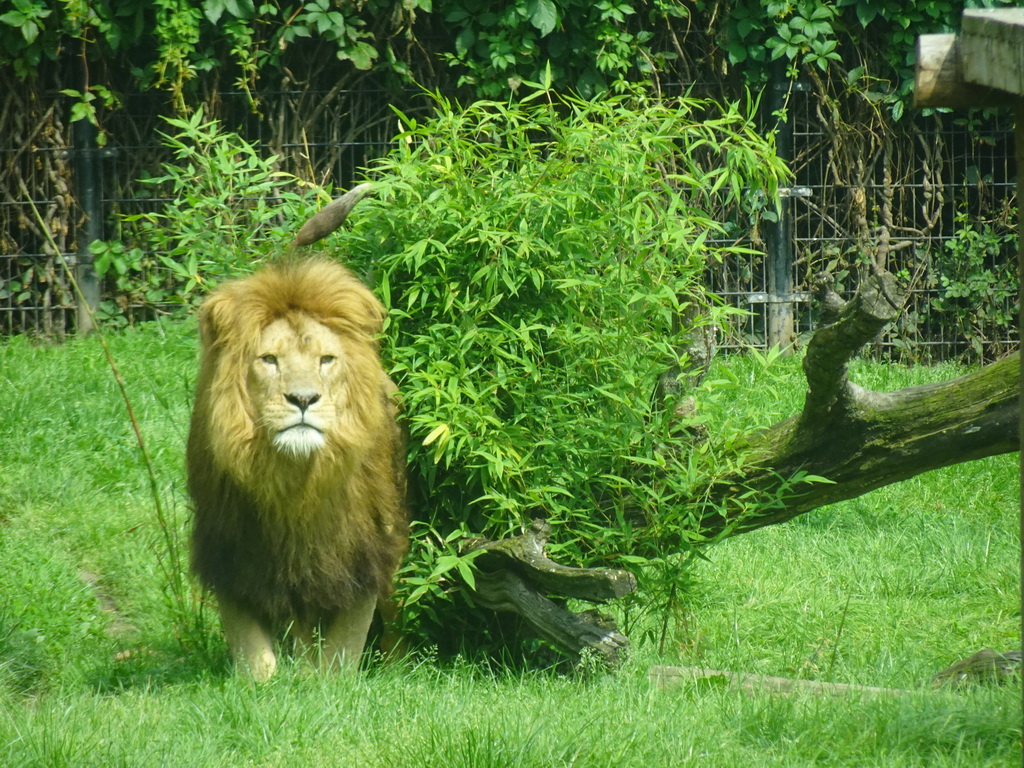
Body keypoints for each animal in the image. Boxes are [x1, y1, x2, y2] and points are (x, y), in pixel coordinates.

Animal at [186, 189, 409, 684]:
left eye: (327, 359)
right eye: (269, 359)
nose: (303, 399)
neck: (295, 481)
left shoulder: (363, 558)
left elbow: (343, 652)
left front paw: (331, 687)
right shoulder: (234, 561)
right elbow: (254, 656)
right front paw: (270, 688)